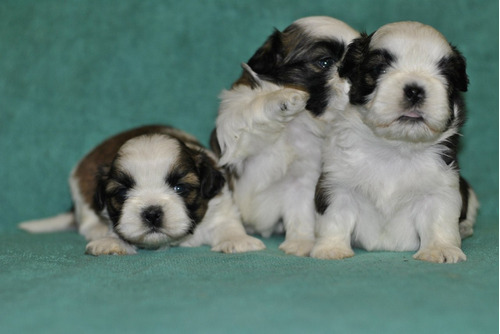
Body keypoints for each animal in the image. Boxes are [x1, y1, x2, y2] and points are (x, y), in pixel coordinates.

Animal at [18, 125, 266, 256]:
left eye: (180, 187)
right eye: (121, 194)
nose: (152, 213)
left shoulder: (220, 208)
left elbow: (227, 225)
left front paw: (238, 240)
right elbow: (118, 230)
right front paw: (111, 242)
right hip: (81, 185)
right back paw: (96, 229)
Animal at [211, 16, 360, 256]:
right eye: (325, 62)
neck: (295, 125)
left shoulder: (302, 178)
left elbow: (301, 212)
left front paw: (301, 243)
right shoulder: (234, 125)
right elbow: (252, 109)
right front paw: (283, 98)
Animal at [312, 21, 480, 264]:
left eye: (445, 75)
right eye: (379, 69)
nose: (415, 90)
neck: (396, 147)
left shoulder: (441, 188)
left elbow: (439, 220)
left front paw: (440, 249)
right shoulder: (337, 184)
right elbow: (334, 218)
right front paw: (331, 248)